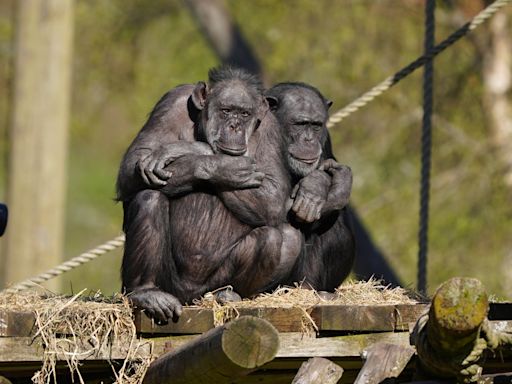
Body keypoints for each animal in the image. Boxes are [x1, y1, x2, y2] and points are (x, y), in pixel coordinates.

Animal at [117, 67, 302, 322]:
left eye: (244, 114)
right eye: (226, 111)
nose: (234, 126)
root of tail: (192, 298)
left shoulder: (271, 129)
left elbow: (274, 196)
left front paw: (189, 150)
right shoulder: (170, 104)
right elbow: (135, 162)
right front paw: (217, 163)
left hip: (212, 285)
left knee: (282, 237)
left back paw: (229, 295)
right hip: (171, 284)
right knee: (148, 196)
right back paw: (146, 293)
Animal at [264, 82, 356, 292]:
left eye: (315, 126)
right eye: (299, 124)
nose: (308, 140)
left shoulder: (326, 137)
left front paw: (317, 185)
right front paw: (316, 186)